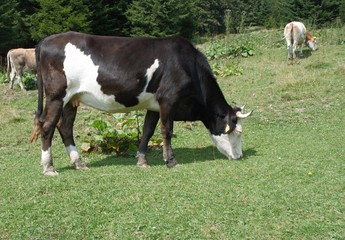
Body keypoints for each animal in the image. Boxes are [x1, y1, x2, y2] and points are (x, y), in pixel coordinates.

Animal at [29, 31, 251, 175]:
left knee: (65, 127)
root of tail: (46, 40)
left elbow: (148, 131)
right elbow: (166, 131)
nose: (239, 156)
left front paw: (142, 160)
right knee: (47, 126)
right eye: (238, 132)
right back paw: (49, 167)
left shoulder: (154, 104)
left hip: (72, 98)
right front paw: (171, 161)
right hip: (57, 95)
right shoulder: (168, 99)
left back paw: (78, 163)